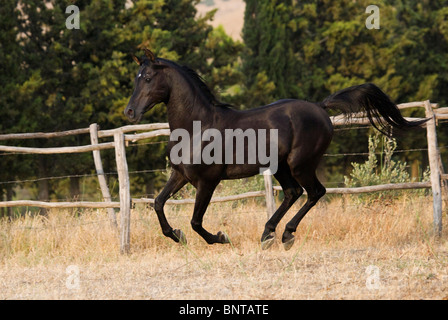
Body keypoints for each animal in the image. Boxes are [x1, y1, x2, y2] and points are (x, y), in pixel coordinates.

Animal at [124, 49, 426, 250]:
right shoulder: (180, 175)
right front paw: (177, 236)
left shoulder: (207, 181)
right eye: (136, 78)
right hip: (281, 167)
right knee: (294, 193)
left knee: (314, 192)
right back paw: (268, 234)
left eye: (148, 77)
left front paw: (221, 238)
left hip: (300, 164)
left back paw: (285, 235)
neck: (197, 128)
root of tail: (320, 108)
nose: (130, 112)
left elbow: (196, 221)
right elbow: (158, 203)